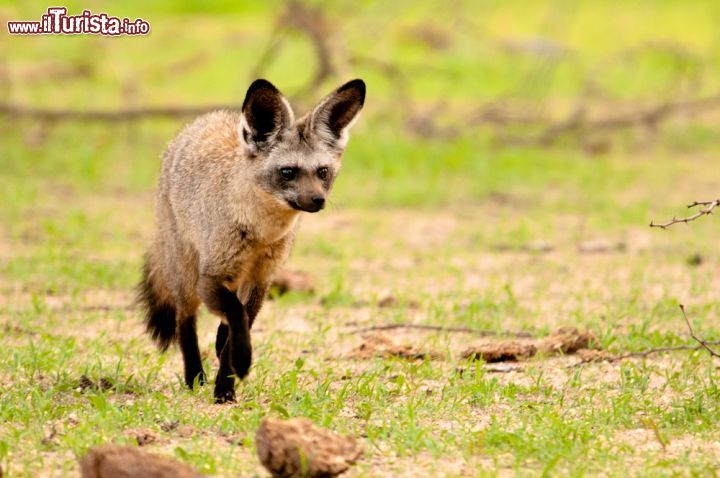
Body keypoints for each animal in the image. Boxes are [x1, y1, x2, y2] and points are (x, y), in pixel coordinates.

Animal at [137, 79, 366, 404]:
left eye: (322, 172)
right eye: (288, 172)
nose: (318, 201)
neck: (260, 234)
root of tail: (207, 119)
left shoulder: (261, 279)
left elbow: (239, 322)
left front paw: (226, 384)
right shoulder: (211, 277)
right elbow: (236, 315)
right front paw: (238, 365)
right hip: (187, 276)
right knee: (185, 320)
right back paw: (194, 376)